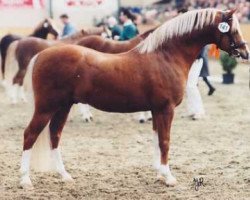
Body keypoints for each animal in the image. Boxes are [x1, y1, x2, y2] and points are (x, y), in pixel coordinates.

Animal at [20, 8, 250, 188]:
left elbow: (157, 140)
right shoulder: (166, 109)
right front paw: (168, 177)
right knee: (30, 135)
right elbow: (165, 141)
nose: (245, 52)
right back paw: (25, 180)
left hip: (63, 107)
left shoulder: (157, 110)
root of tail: (41, 55)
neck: (166, 56)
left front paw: (159, 173)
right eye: (232, 28)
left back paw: (64, 175)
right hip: (46, 107)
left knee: (54, 135)